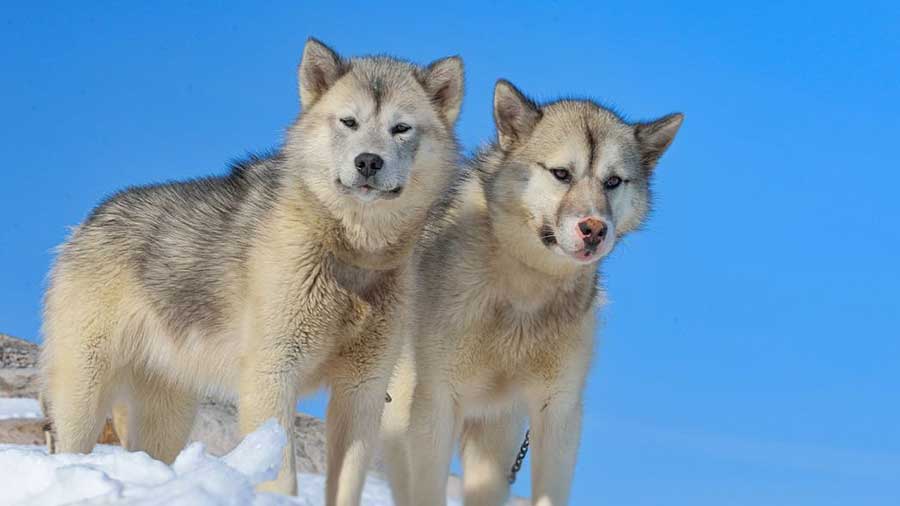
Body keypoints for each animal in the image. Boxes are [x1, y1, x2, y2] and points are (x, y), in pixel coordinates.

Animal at [40, 37, 464, 504]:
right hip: (83, 395)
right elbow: (283, 476)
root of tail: (88, 221)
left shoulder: (362, 391)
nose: (368, 161)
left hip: (170, 416)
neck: (352, 254)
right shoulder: (272, 375)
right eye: (349, 122)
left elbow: (346, 485)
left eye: (401, 128)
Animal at [380, 80, 684, 506]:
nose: (594, 228)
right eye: (561, 174)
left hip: (493, 448)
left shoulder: (558, 412)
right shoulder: (435, 403)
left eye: (612, 181)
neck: (525, 290)